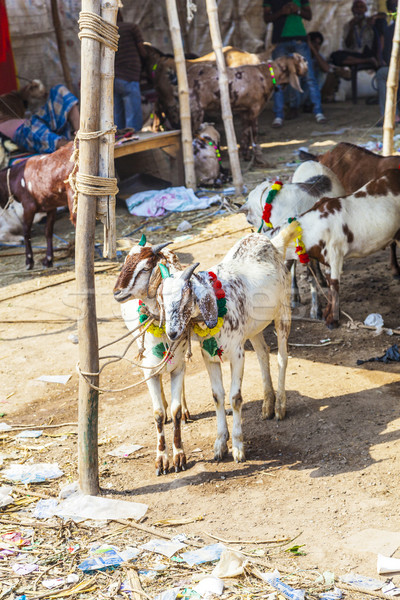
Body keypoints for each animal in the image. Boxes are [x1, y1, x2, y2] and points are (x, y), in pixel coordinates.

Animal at [112, 238, 191, 474]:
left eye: (146, 268)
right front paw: (162, 460)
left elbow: (175, 410)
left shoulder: (178, 366)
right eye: (125, 261)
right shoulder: (148, 370)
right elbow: (157, 414)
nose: (117, 292)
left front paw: (179, 456)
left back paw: (185, 410)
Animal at [158, 225, 298, 464]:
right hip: (254, 327)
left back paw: (280, 405)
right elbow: (217, 396)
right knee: (263, 353)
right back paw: (268, 404)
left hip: (283, 311)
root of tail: (271, 243)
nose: (172, 332)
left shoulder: (237, 354)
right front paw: (220, 444)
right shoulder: (209, 357)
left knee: (282, 356)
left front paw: (239, 447)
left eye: (185, 298)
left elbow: (235, 398)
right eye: (163, 302)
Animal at [290, 169, 400, 328]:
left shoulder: (336, 254)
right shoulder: (327, 257)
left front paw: (332, 320)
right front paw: (327, 313)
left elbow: (335, 284)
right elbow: (329, 283)